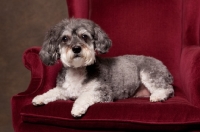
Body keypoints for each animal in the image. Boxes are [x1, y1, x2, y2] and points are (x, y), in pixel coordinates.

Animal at [32, 17, 174, 117]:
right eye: (65, 38)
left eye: (84, 36)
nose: (76, 48)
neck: (78, 70)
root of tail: (164, 67)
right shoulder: (64, 90)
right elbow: (52, 92)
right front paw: (39, 98)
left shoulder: (103, 92)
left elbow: (84, 96)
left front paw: (77, 108)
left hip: (149, 73)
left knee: (168, 89)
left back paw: (158, 96)